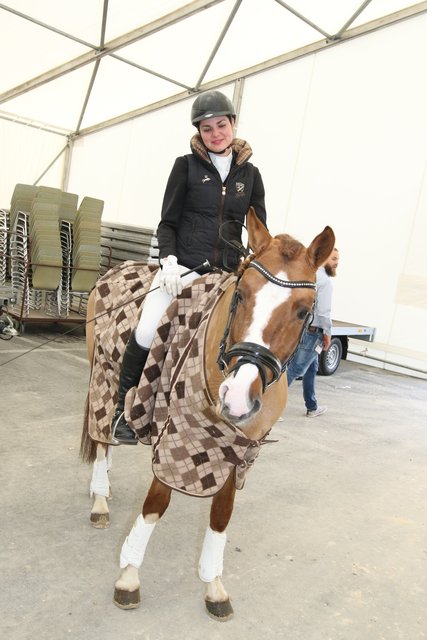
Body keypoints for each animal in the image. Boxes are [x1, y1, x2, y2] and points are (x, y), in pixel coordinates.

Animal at [80, 207, 335, 620]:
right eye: (242, 294)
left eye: (302, 311)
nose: (238, 396)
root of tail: (116, 270)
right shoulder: (177, 435)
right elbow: (156, 504)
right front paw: (129, 577)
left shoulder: (239, 450)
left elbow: (221, 514)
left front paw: (214, 586)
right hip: (101, 375)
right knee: (102, 436)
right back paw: (100, 498)